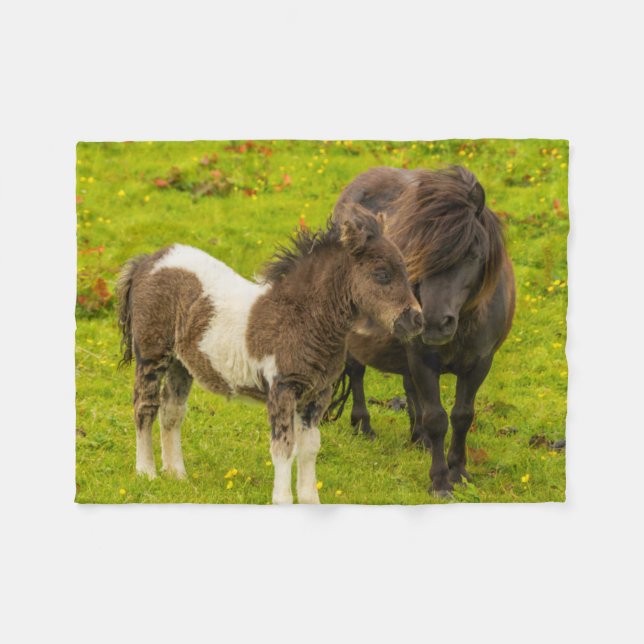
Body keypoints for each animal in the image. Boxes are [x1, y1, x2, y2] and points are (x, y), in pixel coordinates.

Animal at [116, 206, 423, 504]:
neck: (302, 317)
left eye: (404, 270)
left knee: (172, 412)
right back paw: (146, 472)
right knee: (145, 407)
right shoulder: (282, 388)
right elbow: (283, 446)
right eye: (382, 274)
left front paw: (310, 499)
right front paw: (283, 499)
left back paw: (176, 474)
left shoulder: (318, 393)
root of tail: (147, 261)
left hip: (180, 364)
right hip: (152, 354)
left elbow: (310, 447)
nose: (416, 320)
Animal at [329, 166, 516, 497]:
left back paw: (418, 438)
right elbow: (436, 418)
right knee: (356, 371)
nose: (434, 322)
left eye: (472, 253)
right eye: (419, 252)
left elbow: (462, 416)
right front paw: (440, 480)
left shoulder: (480, 363)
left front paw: (459, 472)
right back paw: (364, 426)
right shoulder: (422, 358)